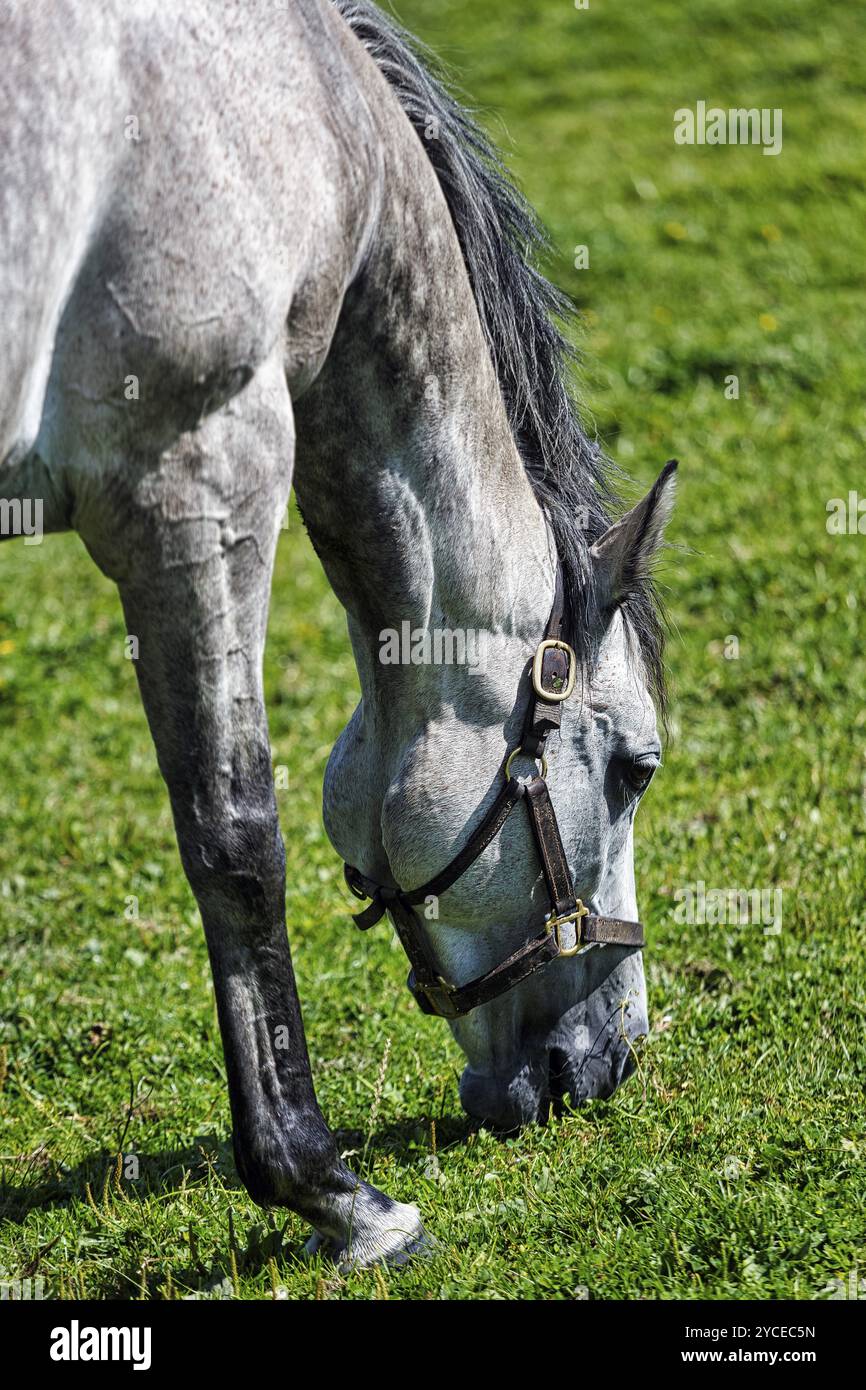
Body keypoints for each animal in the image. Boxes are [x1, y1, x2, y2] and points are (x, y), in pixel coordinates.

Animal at [0, 0, 678, 1267]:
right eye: (633, 769)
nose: (611, 1058)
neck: (318, 132)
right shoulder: (194, 474)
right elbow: (234, 842)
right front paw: (327, 1188)